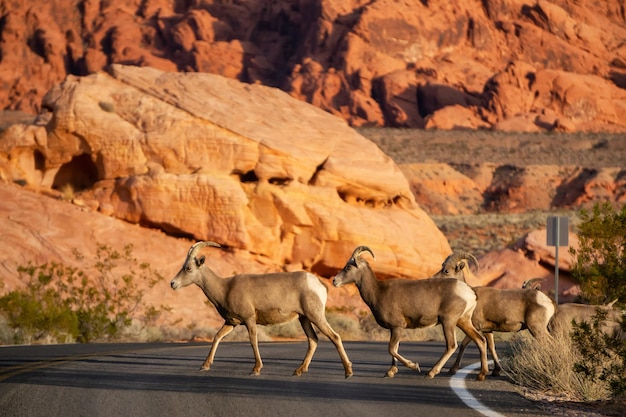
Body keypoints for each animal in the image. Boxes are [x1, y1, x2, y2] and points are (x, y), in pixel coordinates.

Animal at [171, 240, 352, 376]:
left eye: (188, 268)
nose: (173, 283)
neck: (224, 288)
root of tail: (319, 284)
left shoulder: (249, 319)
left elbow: (253, 340)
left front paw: (256, 369)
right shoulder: (231, 323)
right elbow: (217, 337)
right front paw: (205, 366)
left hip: (315, 316)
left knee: (334, 337)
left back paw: (348, 372)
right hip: (304, 318)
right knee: (313, 340)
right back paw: (299, 371)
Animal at [332, 247, 488, 380]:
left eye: (348, 267)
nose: (334, 281)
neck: (378, 292)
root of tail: (469, 292)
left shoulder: (398, 326)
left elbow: (391, 349)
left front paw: (414, 366)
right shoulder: (395, 329)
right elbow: (395, 349)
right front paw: (391, 372)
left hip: (448, 322)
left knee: (451, 345)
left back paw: (430, 373)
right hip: (463, 321)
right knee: (480, 340)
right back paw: (481, 374)